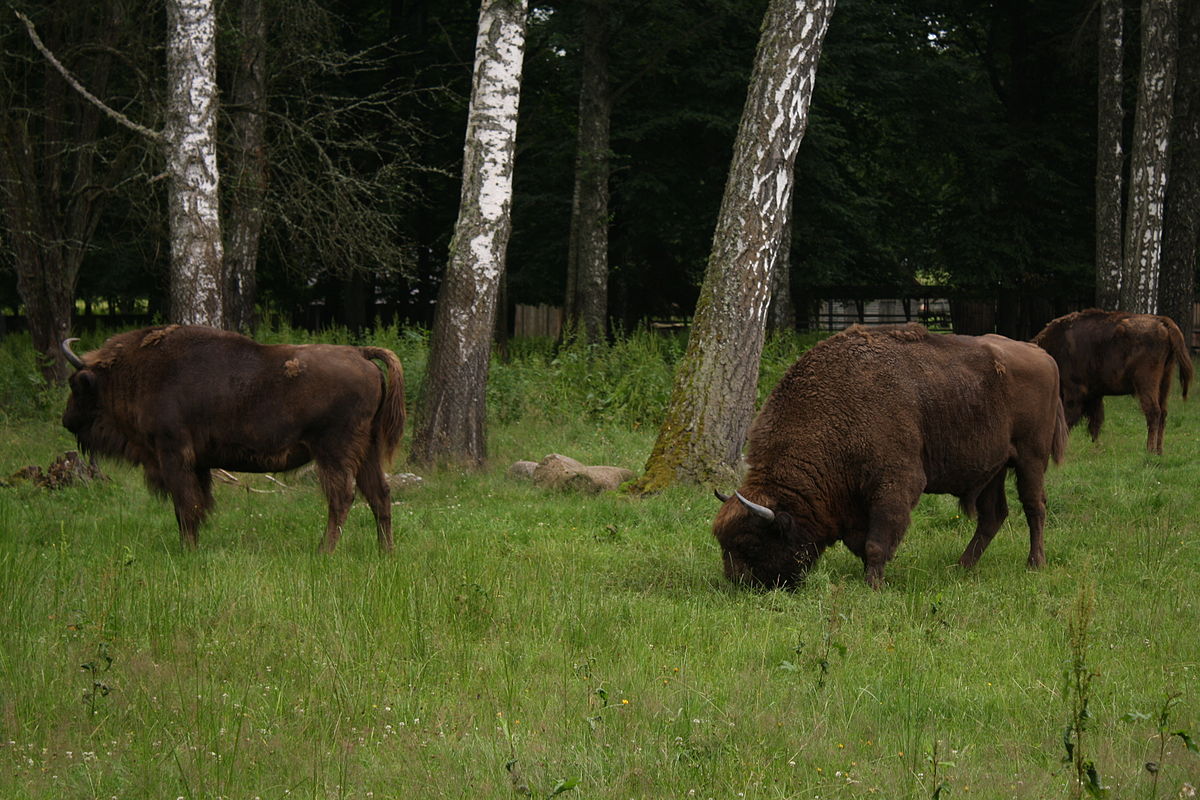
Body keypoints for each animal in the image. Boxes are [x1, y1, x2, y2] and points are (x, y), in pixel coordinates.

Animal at [60, 323, 405, 551]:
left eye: (76, 384)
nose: (66, 420)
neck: (138, 371)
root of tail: (361, 354)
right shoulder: (197, 464)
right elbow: (197, 504)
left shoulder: (173, 454)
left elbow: (185, 505)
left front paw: (187, 549)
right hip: (367, 450)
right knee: (379, 494)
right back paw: (385, 552)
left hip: (333, 451)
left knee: (343, 497)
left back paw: (324, 551)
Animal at [705, 321, 1065, 592]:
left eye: (751, 544)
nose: (737, 584)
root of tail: (1042, 355)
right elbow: (862, 542)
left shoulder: (895, 484)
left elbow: (876, 541)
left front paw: (873, 585)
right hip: (992, 469)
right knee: (993, 515)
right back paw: (961, 566)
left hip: (1030, 458)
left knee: (1034, 507)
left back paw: (1035, 563)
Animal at [1032, 309, 1190, 455]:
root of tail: (1161, 321)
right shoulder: (1094, 395)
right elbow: (1095, 422)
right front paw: (1095, 446)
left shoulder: (1074, 391)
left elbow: (1069, 419)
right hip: (1165, 380)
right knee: (1163, 412)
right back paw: (1159, 451)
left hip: (1146, 382)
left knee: (1153, 412)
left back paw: (1149, 450)